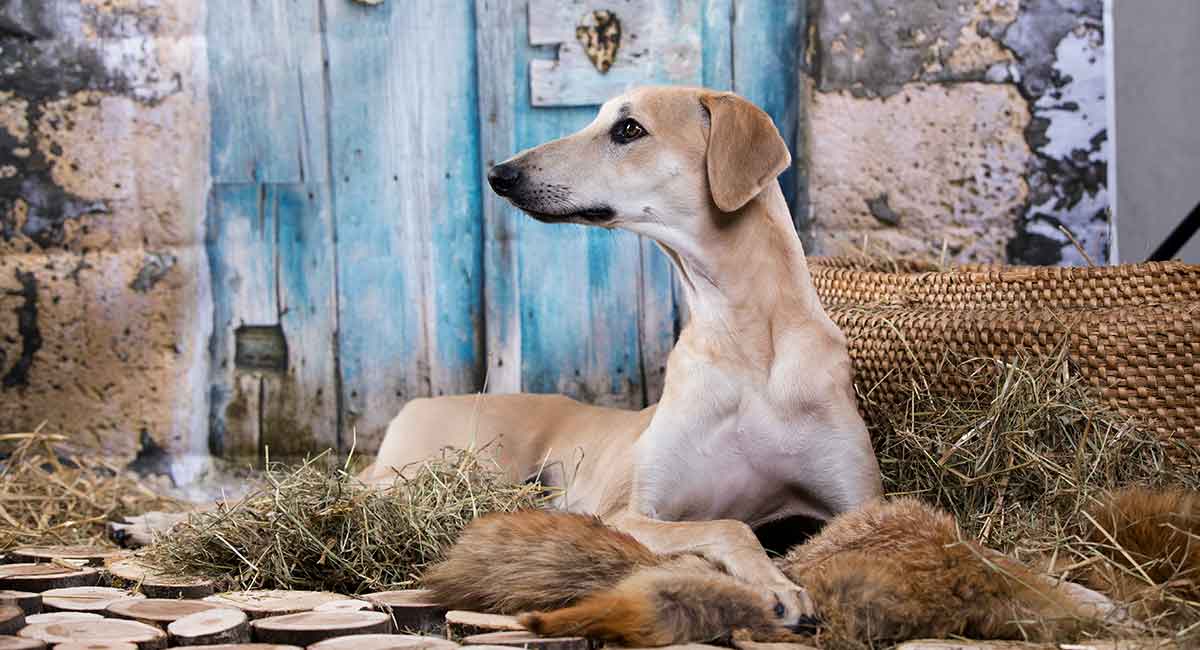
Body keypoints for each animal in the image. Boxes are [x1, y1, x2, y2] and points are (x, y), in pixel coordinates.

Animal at [360, 86, 888, 628]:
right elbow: (728, 526)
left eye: (628, 128)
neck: (746, 347)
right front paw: (777, 585)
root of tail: (415, 405)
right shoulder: (627, 512)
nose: (500, 174)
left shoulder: (858, 500)